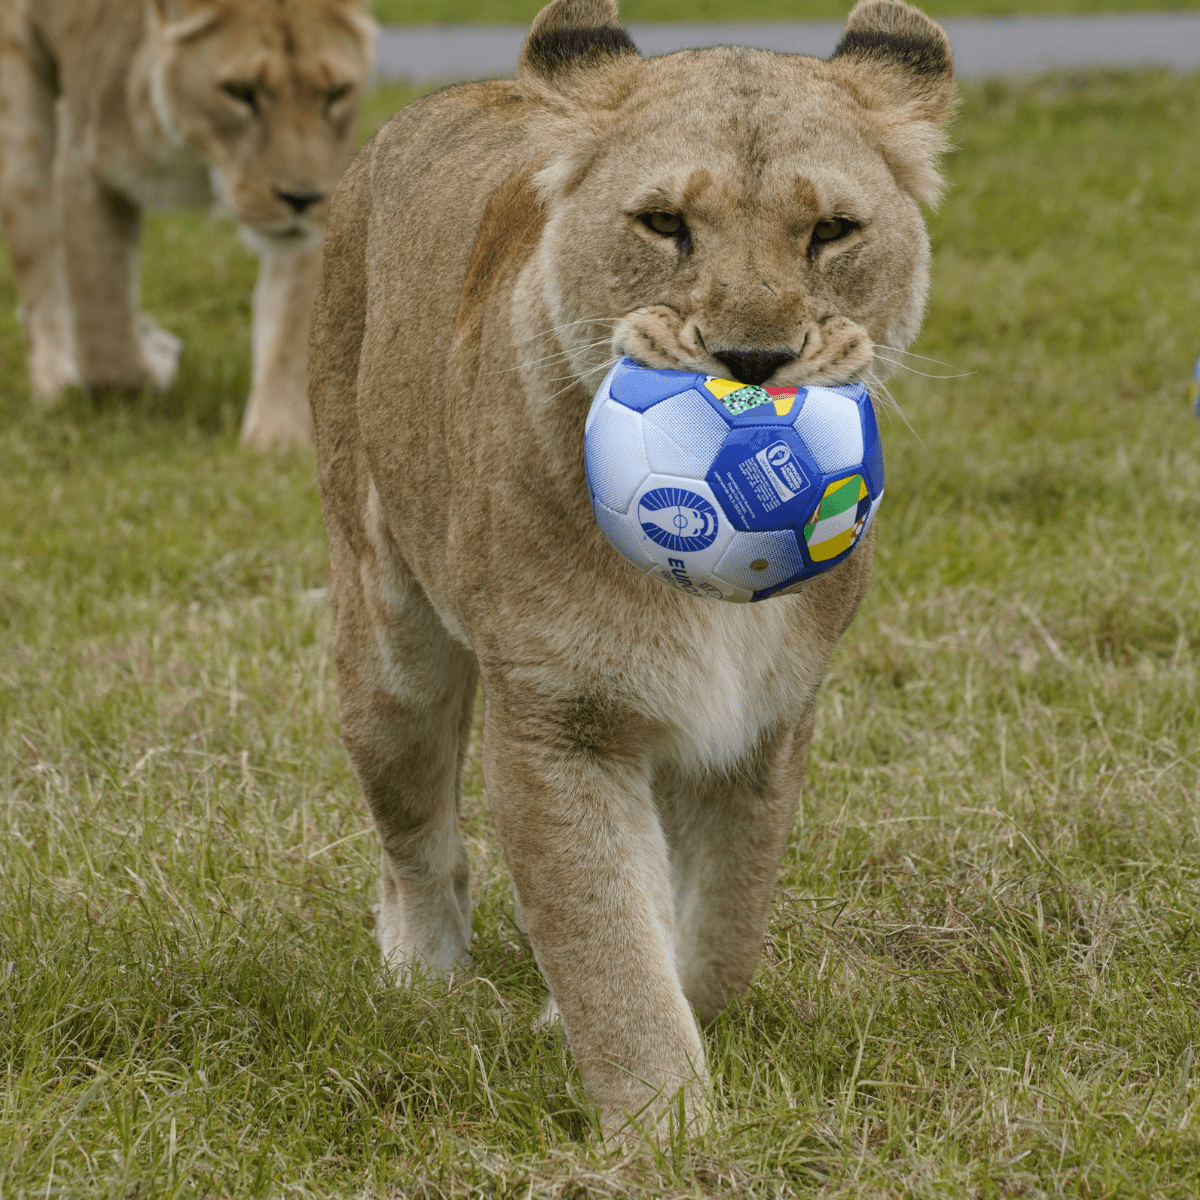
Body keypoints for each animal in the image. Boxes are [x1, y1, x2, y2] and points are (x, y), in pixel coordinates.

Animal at [0, 0, 375, 446]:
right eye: (240, 92)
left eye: (335, 94)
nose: (301, 198)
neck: (197, 148)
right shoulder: (85, 162)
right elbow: (104, 328)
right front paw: (148, 371)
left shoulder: (331, 181)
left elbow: (291, 323)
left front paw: (275, 440)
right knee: (40, 265)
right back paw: (58, 379)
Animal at [309, 0, 954, 1137]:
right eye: (663, 224)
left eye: (831, 232)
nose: (753, 363)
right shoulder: (561, 719)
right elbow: (608, 940)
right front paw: (665, 1133)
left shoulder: (762, 721)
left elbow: (721, 927)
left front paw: (642, 1044)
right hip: (389, 655)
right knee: (417, 837)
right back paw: (425, 978)